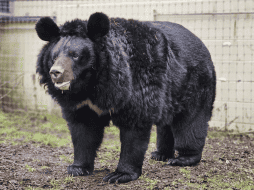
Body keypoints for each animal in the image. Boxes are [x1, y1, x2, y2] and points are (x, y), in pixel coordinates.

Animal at [35, 11, 216, 183]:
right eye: (54, 56)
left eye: (76, 55)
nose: (56, 73)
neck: (91, 86)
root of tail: (202, 44)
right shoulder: (81, 104)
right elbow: (83, 131)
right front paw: (77, 168)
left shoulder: (136, 86)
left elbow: (134, 130)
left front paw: (120, 175)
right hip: (171, 93)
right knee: (166, 123)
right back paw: (160, 154)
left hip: (195, 84)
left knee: (191, 122)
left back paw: (183, 158)